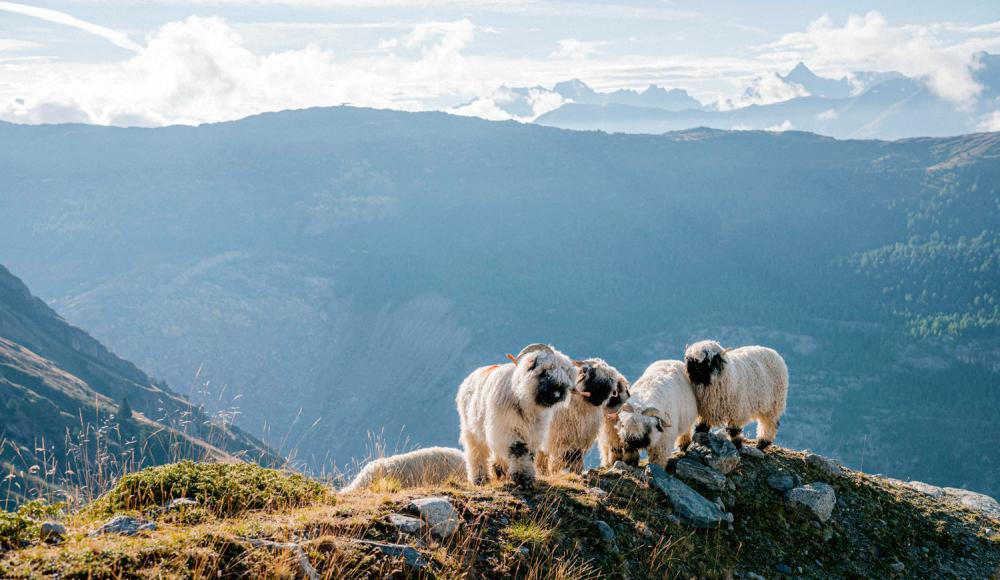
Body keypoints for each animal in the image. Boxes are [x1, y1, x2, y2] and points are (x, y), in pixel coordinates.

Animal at [456, 342, 580, 488]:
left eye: (567, 374)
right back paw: (479, 478)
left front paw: (527, 477)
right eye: (545, 371)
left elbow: (529, 453)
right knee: (476, 452)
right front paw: (521, 478)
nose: (557, 393)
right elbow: (518, 450)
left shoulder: (532, 433)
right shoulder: (508, 429)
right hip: (472, 430)